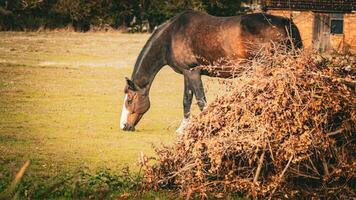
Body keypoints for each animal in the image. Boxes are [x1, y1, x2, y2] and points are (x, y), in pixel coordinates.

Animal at [120, 9, 304, 132]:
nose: (124, 126)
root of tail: (286, 23)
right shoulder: (187, 73)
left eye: (129, 100)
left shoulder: (192, 72)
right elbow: (187, 100)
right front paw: (183, 128)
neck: (171, 36)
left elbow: (201, 101)